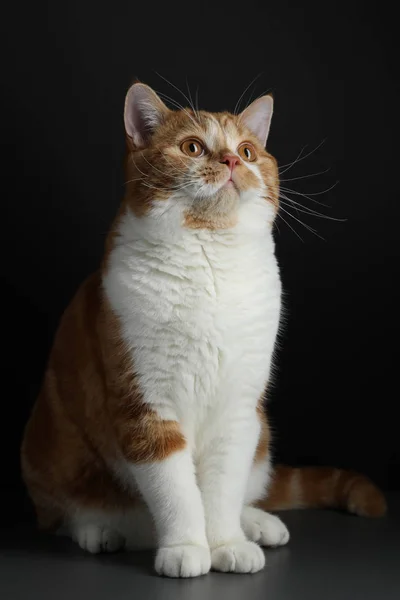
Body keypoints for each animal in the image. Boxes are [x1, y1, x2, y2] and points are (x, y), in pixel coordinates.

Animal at [20, 82, 386, 580]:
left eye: (248, 151)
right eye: (192, 147)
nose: (232, 161)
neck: (211, 261)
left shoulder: (239, 409)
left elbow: (222, 488)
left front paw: (227, 542)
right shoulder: (147, 407)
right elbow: (176, 491)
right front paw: (187, 547)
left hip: (261, 435)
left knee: (248, 486)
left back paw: (257, 524)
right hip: (53, 453)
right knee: (66, 515)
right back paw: (100, 530)